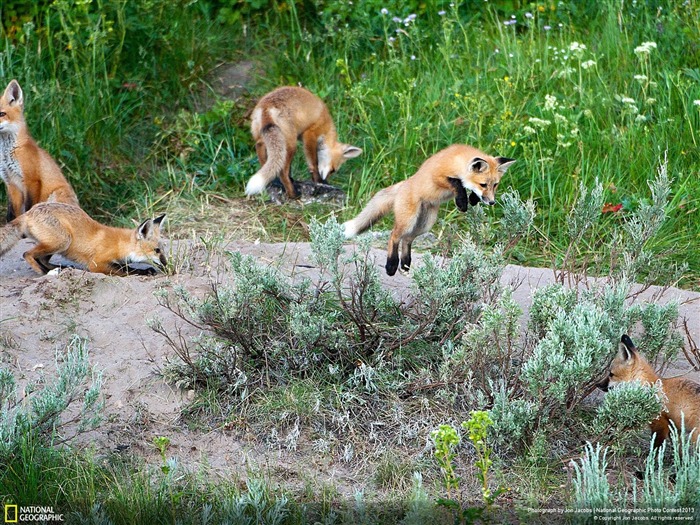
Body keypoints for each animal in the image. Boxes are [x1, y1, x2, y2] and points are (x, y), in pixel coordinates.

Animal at [0, 202, 168, 276]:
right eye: (157, 250)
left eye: (163, 250)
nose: (167, 265)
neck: (119, 244)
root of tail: (29, 211)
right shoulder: (96, 264)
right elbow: (124, 270)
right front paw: (142, 271)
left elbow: (124, 267)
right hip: (63, 240)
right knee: (27, 254)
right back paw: (45, 272)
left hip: (56, 244)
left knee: (42, 259)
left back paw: (60, 268)